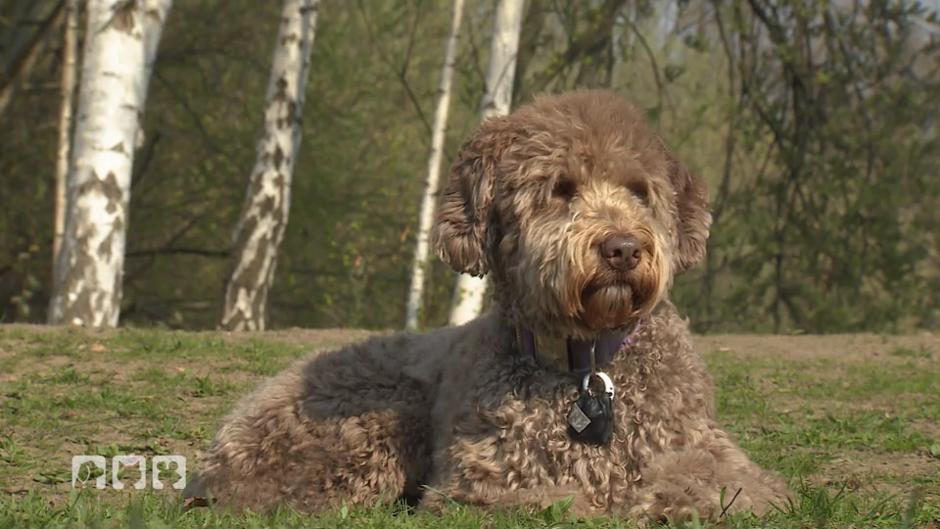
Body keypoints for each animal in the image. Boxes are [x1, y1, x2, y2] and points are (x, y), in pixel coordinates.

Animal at [193, 89, 792, 520]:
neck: (586, 363)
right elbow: (553, 504)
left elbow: (715, 485)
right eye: (560, 189)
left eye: (640, 190)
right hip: (376, 423)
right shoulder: (486, 483)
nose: (622, 248)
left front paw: (664, 502)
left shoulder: (719, 458)